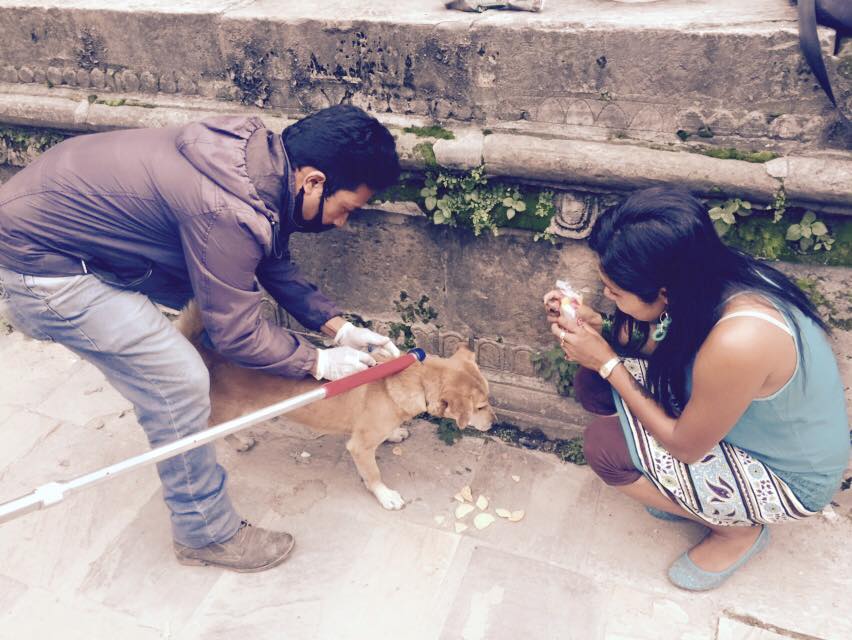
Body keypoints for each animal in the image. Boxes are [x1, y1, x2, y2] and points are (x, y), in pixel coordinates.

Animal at [175, 303, 495, 509]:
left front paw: (394, 434)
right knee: (213, 431)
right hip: (226, 414)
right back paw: (237, 442)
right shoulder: (360, 448)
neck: (411, 379)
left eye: (488, 400)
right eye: (479, 408)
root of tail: (203, 349)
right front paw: (385, 495)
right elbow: (373, 474)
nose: (493, 424)